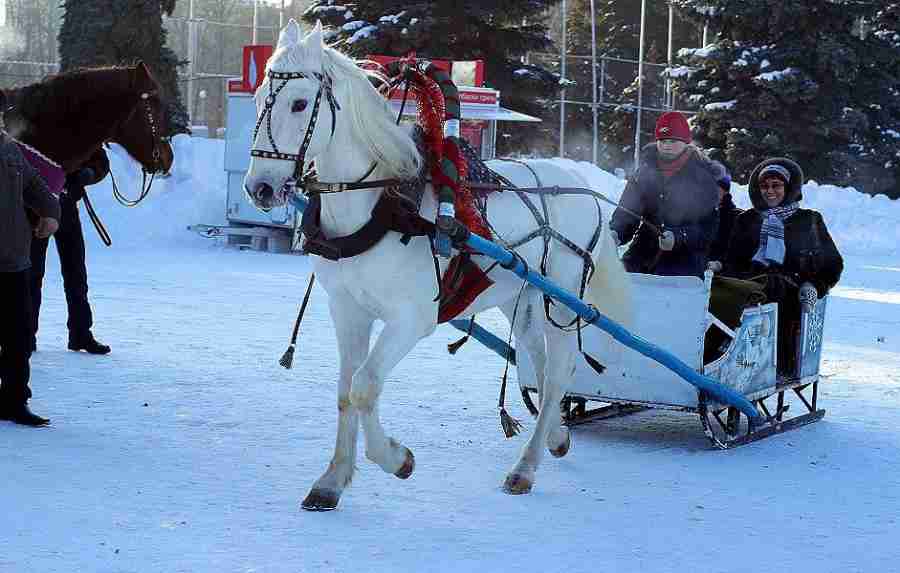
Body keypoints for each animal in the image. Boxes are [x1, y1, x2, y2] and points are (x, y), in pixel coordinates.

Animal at [243, 20, 628, 510]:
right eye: (257, 98)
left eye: (298, 103)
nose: (260, 188)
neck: (380, 205)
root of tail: (579, 184)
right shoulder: (347, 309)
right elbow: (345, 391)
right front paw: (332, 480)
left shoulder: (412, 318)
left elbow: (365, 385)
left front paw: (396, 459)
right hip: (519, 299)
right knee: (539, 365)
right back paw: (555, 436)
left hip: (560, 301)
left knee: (559, 370)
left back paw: (525, 467)